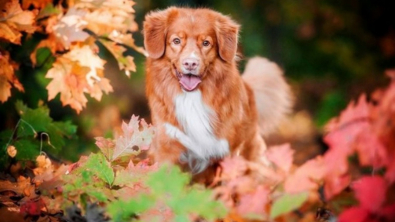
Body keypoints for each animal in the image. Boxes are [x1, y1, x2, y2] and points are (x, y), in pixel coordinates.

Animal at [144, 6, 292, 177]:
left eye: (206, 43)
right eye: (176, 41)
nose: (190, 63)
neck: (192, 98)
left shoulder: (227, 151)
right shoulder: (166, 148)